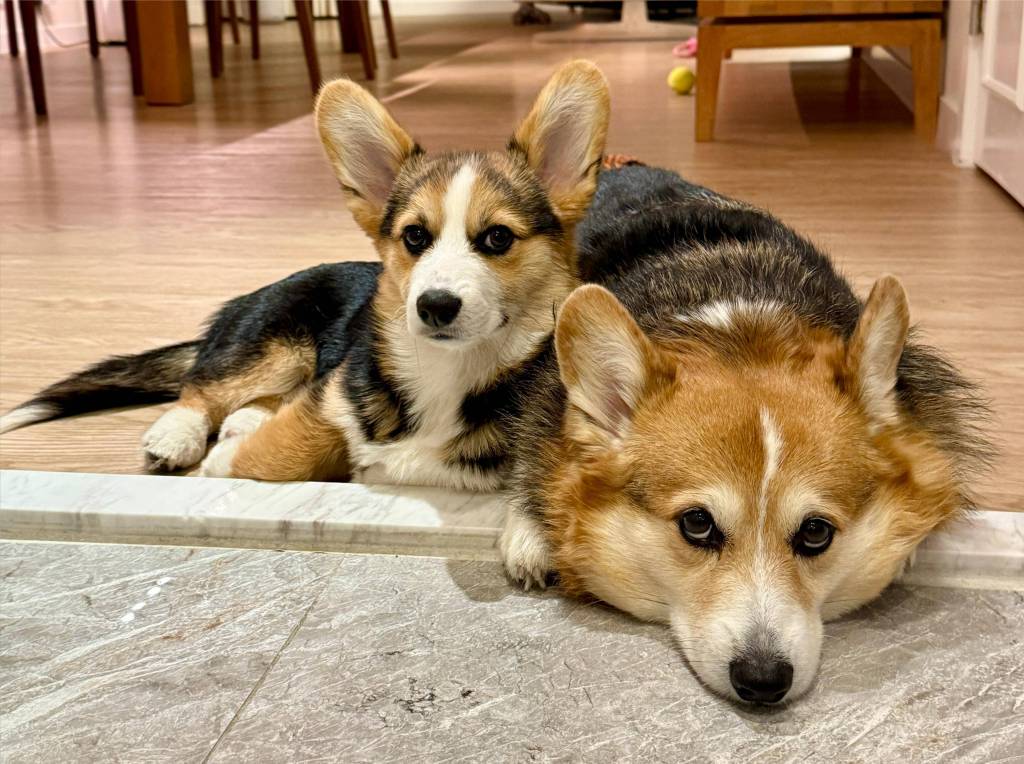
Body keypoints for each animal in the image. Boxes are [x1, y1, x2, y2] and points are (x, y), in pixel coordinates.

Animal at [0, 60, 610, 490]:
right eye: (415, 236)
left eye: (497, 239)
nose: (434, 305)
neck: (447, 372)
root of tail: (245, 300)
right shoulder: (330, 398)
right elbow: (279, 455)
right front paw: (225, 460)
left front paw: (233, 450)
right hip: (276, 344)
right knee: (201, 385)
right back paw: (175, 436)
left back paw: (239, 424)